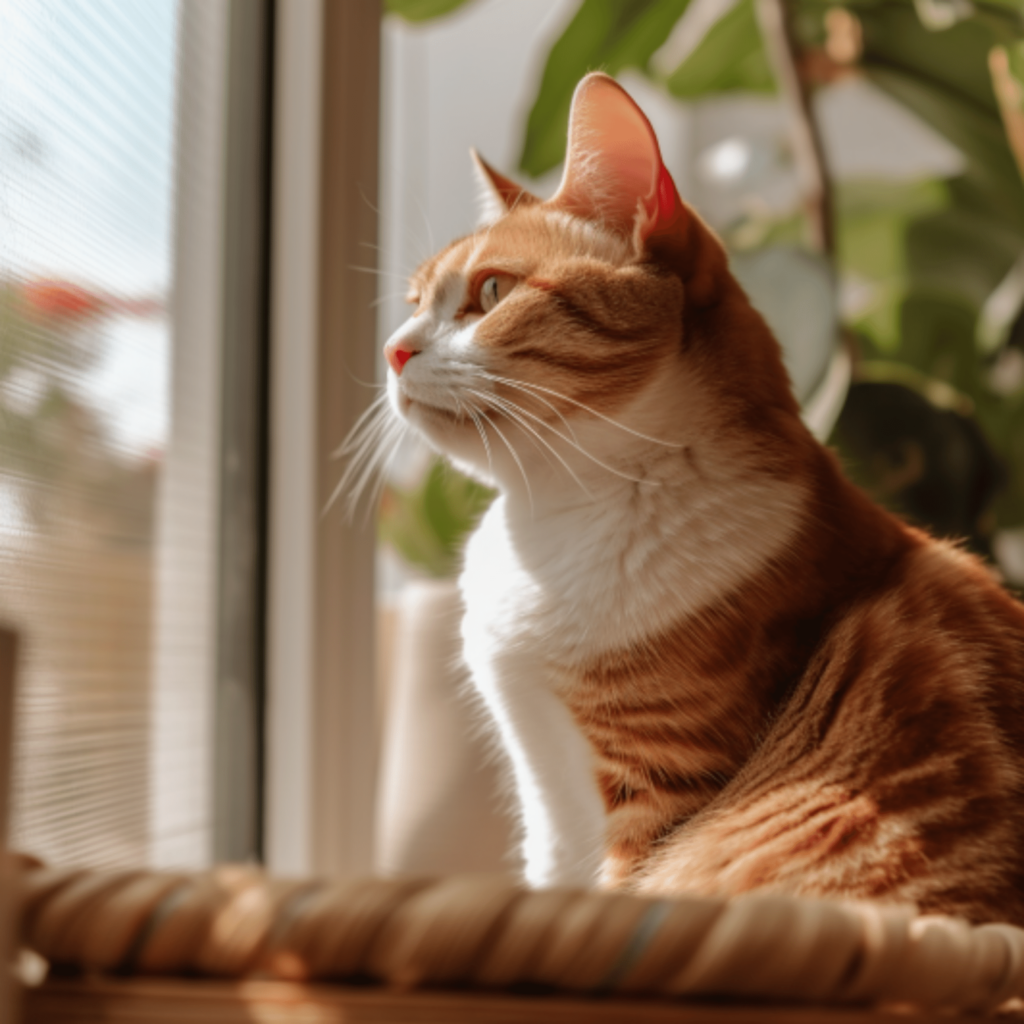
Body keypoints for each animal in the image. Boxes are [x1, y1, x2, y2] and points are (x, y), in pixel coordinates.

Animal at [372, 70, 1024, 921]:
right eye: (415, 304)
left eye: (489, 291)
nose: (392, 350)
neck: (557, 517)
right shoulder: (546, 788)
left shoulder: (659, 784)